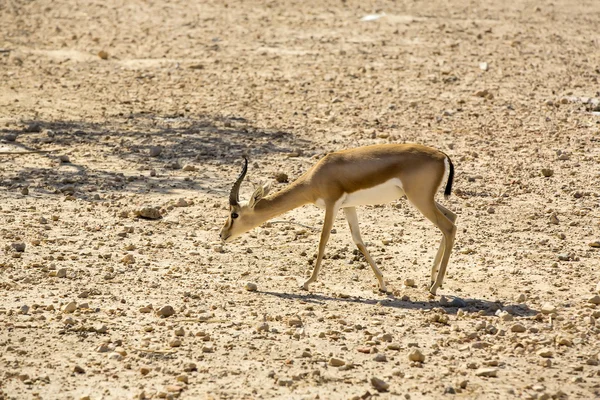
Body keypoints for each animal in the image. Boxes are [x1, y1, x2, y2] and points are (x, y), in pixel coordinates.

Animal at [220, 144, 460, 294]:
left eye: (234, 214)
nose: (222, 235)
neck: (318, 175)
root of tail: (442, 155)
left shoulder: (332, 205)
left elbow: (323, 239)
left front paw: (307, 282)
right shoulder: (348, 206)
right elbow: (358, 240)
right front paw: (383, 284)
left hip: (419, 199)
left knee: (448, 227)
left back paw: (435, 287)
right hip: (424, 200)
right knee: (453, 216)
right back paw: (431, 278)